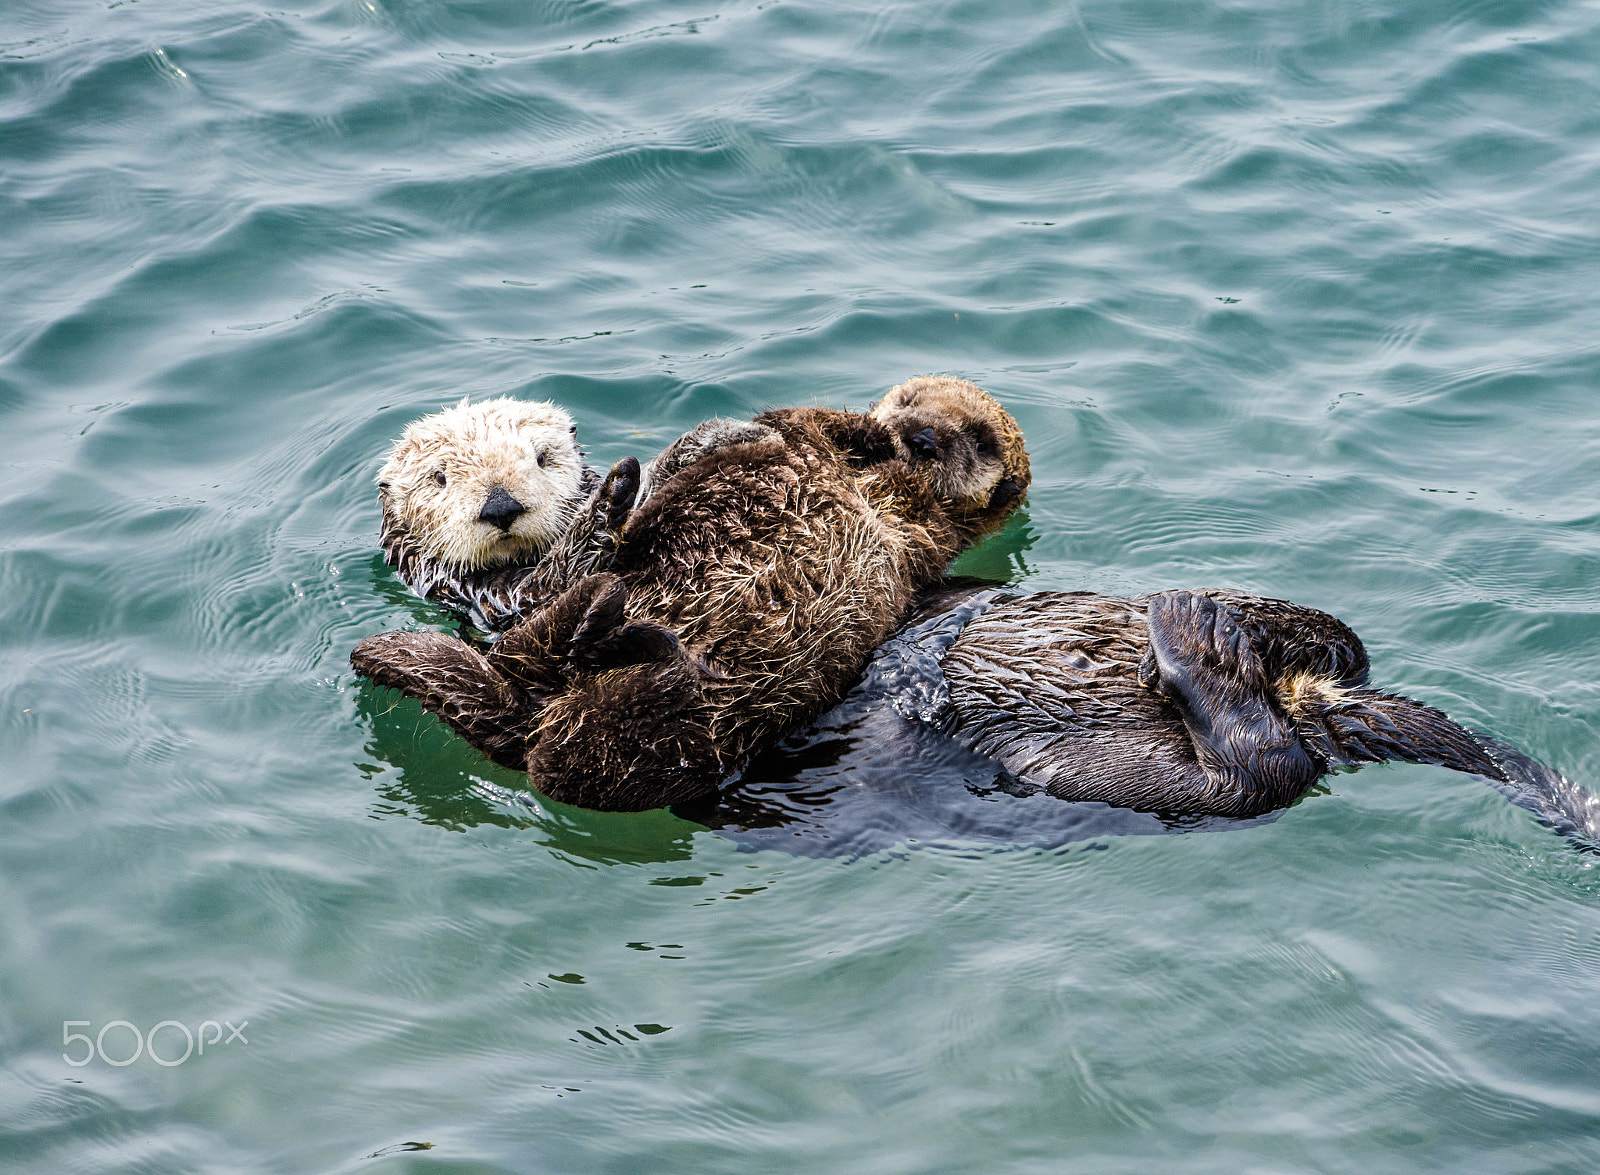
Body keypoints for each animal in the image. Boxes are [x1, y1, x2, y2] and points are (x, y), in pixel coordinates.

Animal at [352, 377, 1030, 810]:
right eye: (439, 477)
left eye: (543, 459)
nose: (500, 506)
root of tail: (536, 723)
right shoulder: (486, 594)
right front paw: (620, 492)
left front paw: (716, 439)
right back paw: (603, 613)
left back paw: (614, 631)